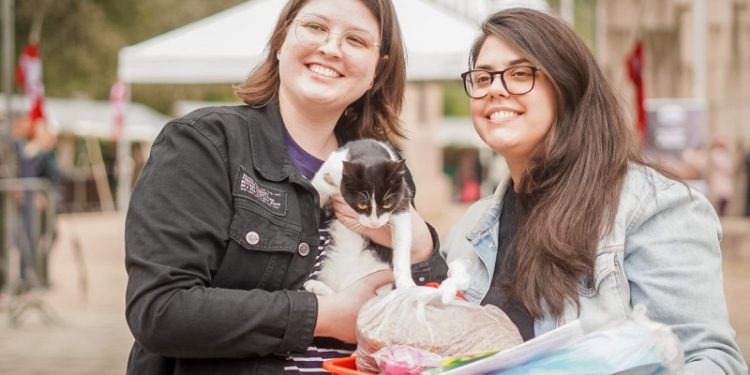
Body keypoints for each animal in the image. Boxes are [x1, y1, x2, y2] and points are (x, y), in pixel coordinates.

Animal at [304, 140, 418, 296]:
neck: (370, 154)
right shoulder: (328, 173)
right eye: (362, 205)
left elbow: (403, 239)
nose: (375, 224)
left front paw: (406, 283)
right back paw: (318, 287)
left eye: (387, 204)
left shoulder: (402, 197)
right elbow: (316, 189)